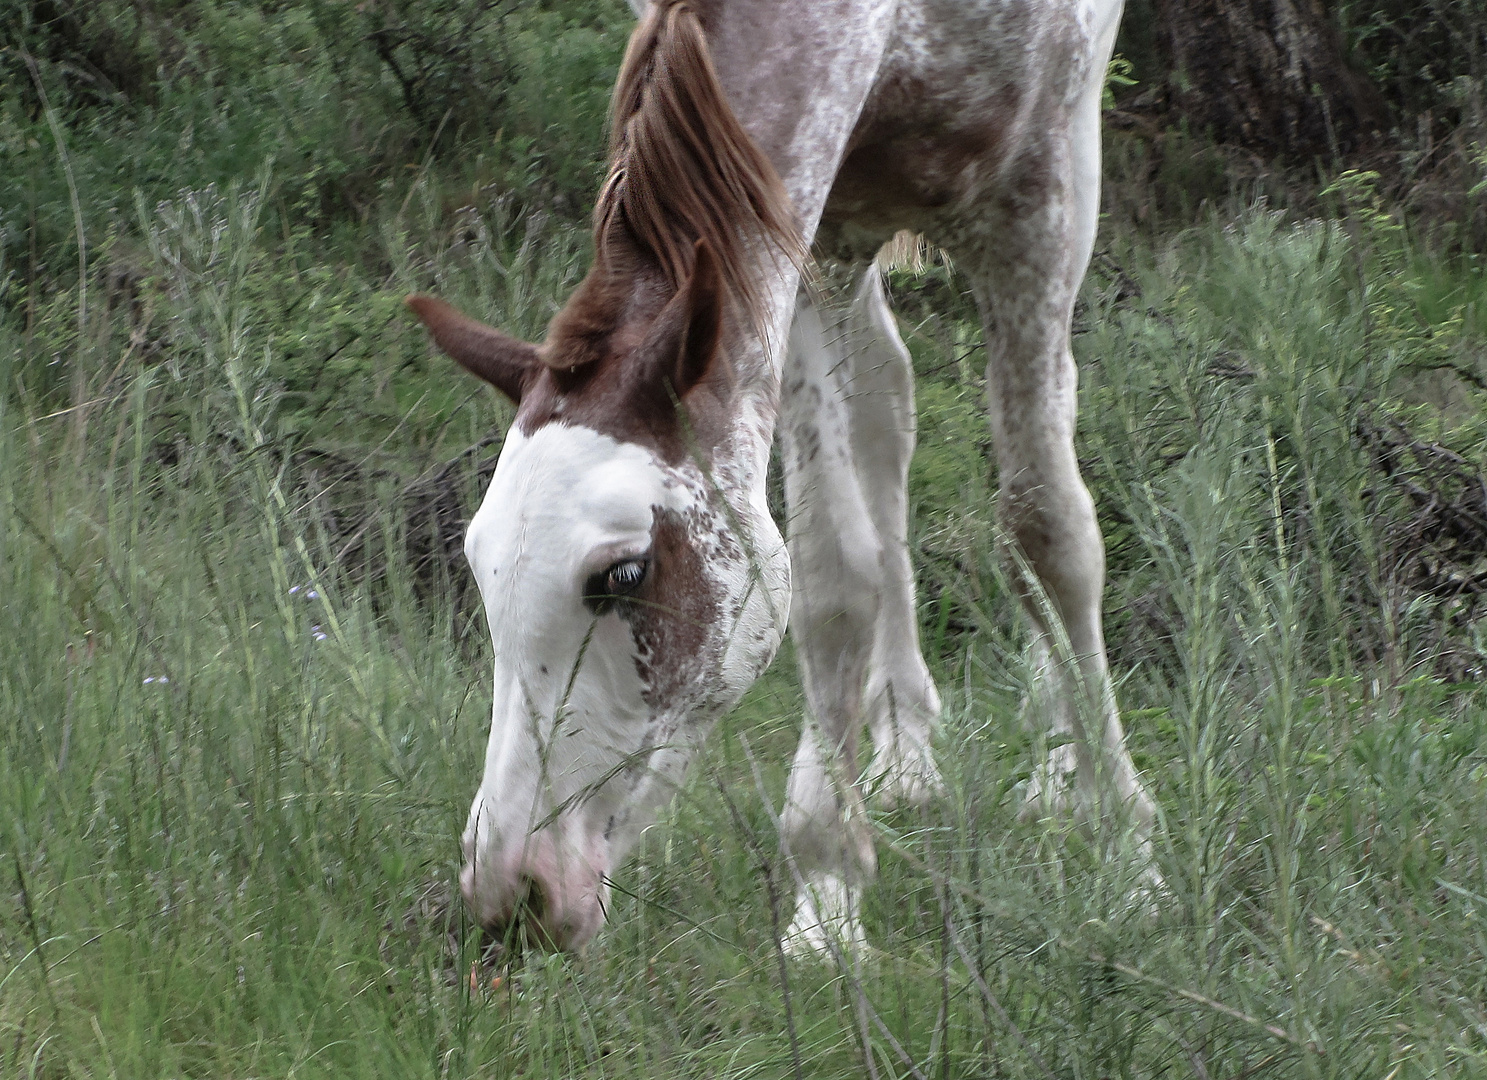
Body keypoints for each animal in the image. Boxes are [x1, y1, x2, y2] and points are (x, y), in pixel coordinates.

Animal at [410, 0, 1159, 958]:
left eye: (624, 573)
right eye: (479, 568)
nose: (514, 894)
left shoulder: (1042, 196)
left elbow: (1048, 533)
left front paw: (1123, 845)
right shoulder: (795, 233)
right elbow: (835, 569)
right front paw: (828, 882)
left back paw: (1058, 760)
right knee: (886, 407)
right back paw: (904, 753)